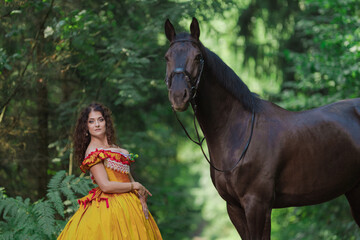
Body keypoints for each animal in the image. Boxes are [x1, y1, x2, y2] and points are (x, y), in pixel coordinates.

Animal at [164, 17, 360, 239]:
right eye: (167, 57)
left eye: (197, 57)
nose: (179, 96)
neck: (238, 133)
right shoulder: (234, 207)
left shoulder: (257, 205)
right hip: (355, 190)